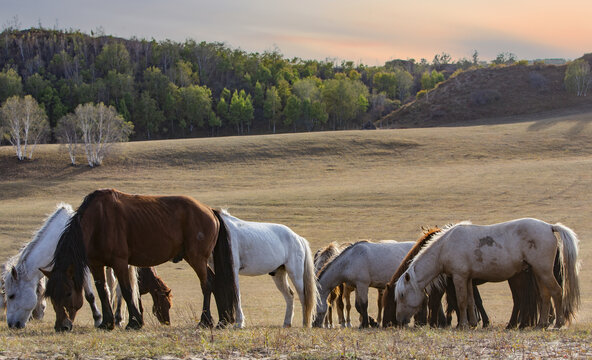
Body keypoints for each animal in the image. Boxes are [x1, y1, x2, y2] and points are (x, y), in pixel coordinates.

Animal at [44, 188, 238, 332]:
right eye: (51, 296)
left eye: (68, 293)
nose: (61, 326)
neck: (98, 221)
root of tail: (210, 210)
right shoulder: (96, 265)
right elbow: (103, 291)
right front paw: (107, 323)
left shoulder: (120, 263)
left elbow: (127, 291)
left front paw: (134, 322)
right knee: (216, 282)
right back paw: (222, 321)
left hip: (196, 258)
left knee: (207, 284)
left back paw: (205, 321)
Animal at [396, 217, 580, 330]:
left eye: (402, 295)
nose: (399, 320)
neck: (445, 246)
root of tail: (549, 227)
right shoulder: (468, 278)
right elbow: (470, 301)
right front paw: (472, 323)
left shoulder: (459, 277)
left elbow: (461, 301)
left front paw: (462, 325)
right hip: (538, 272)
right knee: (545, 295)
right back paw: (541, 324)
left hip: (543, 271)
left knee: (556, 292)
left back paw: (557, 324)